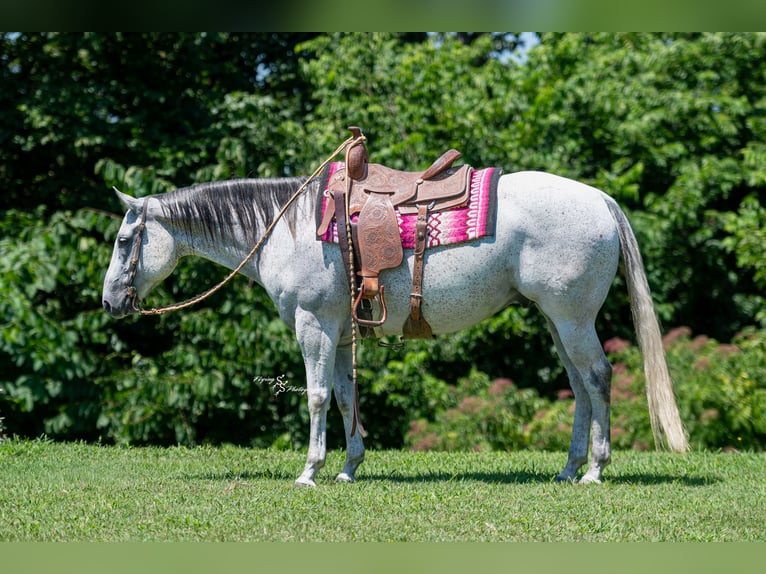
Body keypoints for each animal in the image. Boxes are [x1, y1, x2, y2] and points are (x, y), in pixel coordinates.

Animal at [102, 169, 688, 486]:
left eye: (125, 241)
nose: (110, 302)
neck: (287, 228)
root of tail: (600, 199)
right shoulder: (339, 330)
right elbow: (344, 395)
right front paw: (348, 466)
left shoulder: (314, 324)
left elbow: (316, 395)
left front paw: (310, 471)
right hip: (557, 320)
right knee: (580, 386)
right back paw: (569, 469)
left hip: (572, 317)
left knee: (598, 379)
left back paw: (594, 471)